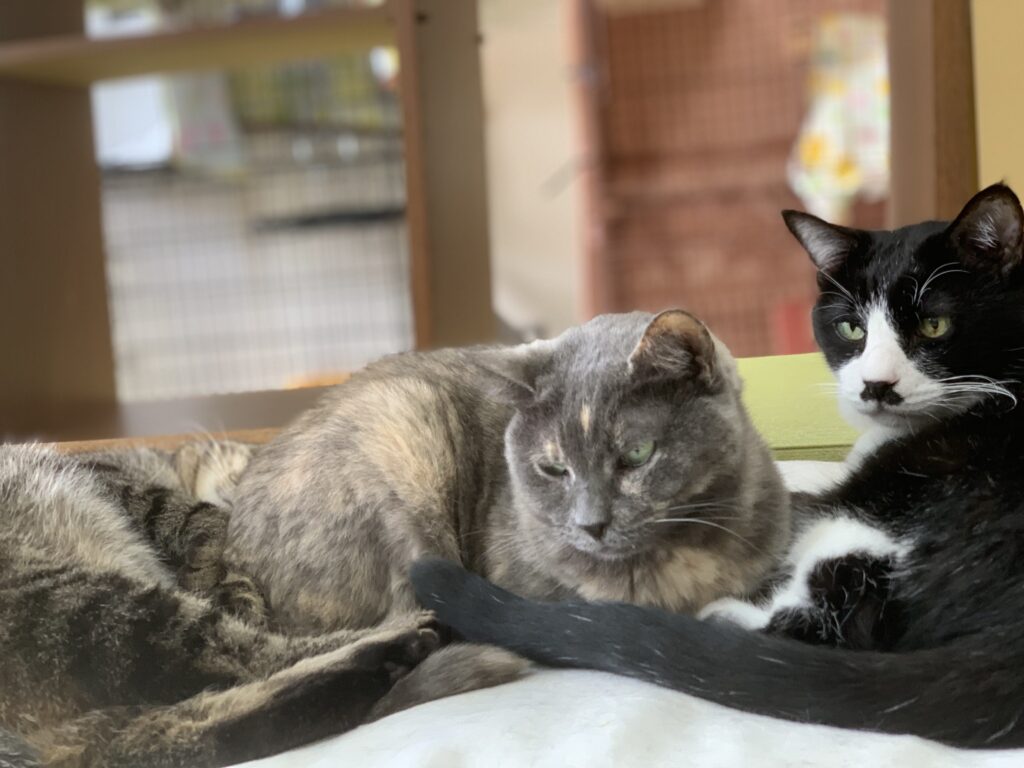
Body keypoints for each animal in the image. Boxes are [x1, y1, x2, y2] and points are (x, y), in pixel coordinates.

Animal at [0, 444, 439, 768]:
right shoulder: (107, 473)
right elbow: (203, 518)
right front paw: (224, 577)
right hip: (90, 608)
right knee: (247, 658)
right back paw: (390, 643)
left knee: (173, 734)